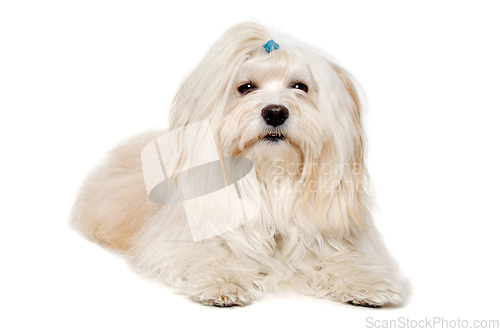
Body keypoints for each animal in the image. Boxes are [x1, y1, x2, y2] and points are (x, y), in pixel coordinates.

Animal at [71, 22, 410, 308]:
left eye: (300, 86)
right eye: (246, 87)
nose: (275, 112)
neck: (270, 178)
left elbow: (347, 258)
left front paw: (367, 282)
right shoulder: (184, 239)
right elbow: (208, 254)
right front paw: (225, 282)